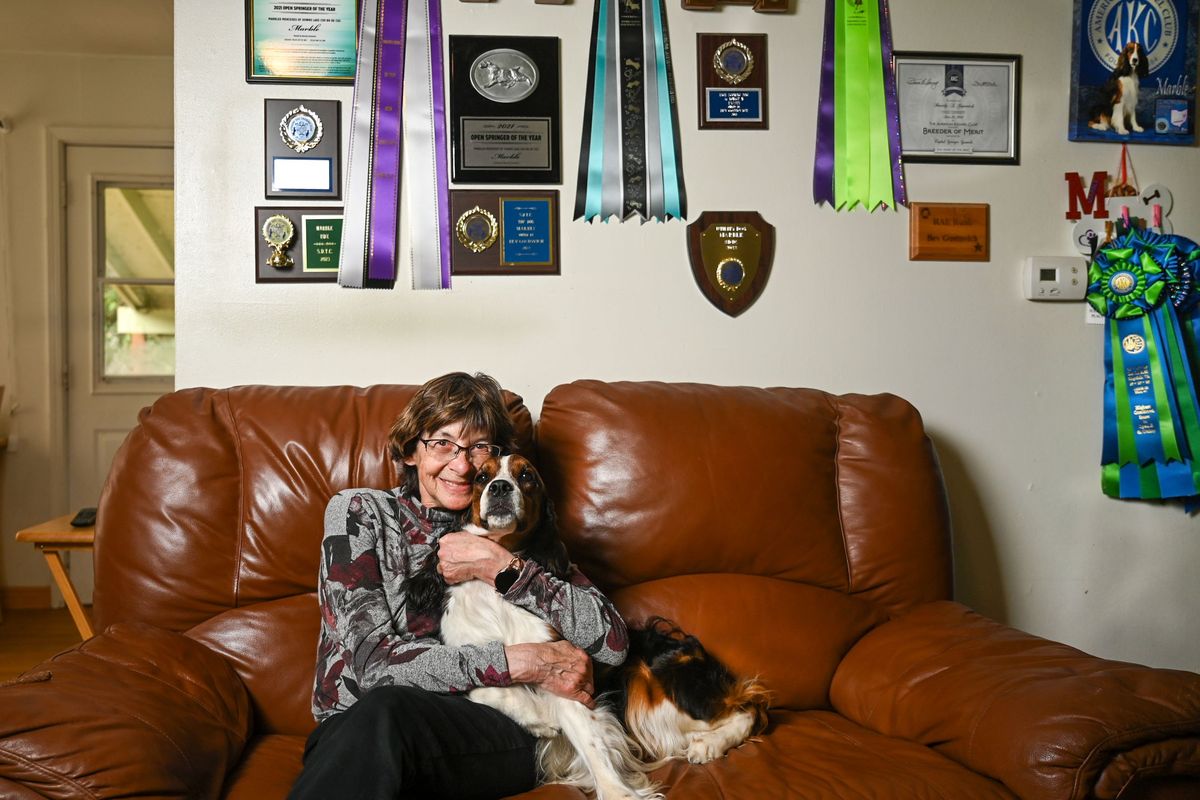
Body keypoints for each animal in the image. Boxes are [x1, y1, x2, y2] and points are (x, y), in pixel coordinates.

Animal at [408, 453, 768, 796]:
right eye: (482, 476)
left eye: (526, 475)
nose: (499, 487)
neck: (494, 588)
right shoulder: (469, 655)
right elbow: (480, 685)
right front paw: (540, 718)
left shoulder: (565, 668)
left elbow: (593, 747)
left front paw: (619, 793)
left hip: (656, 689)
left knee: (749, 707)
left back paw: (708, 745)